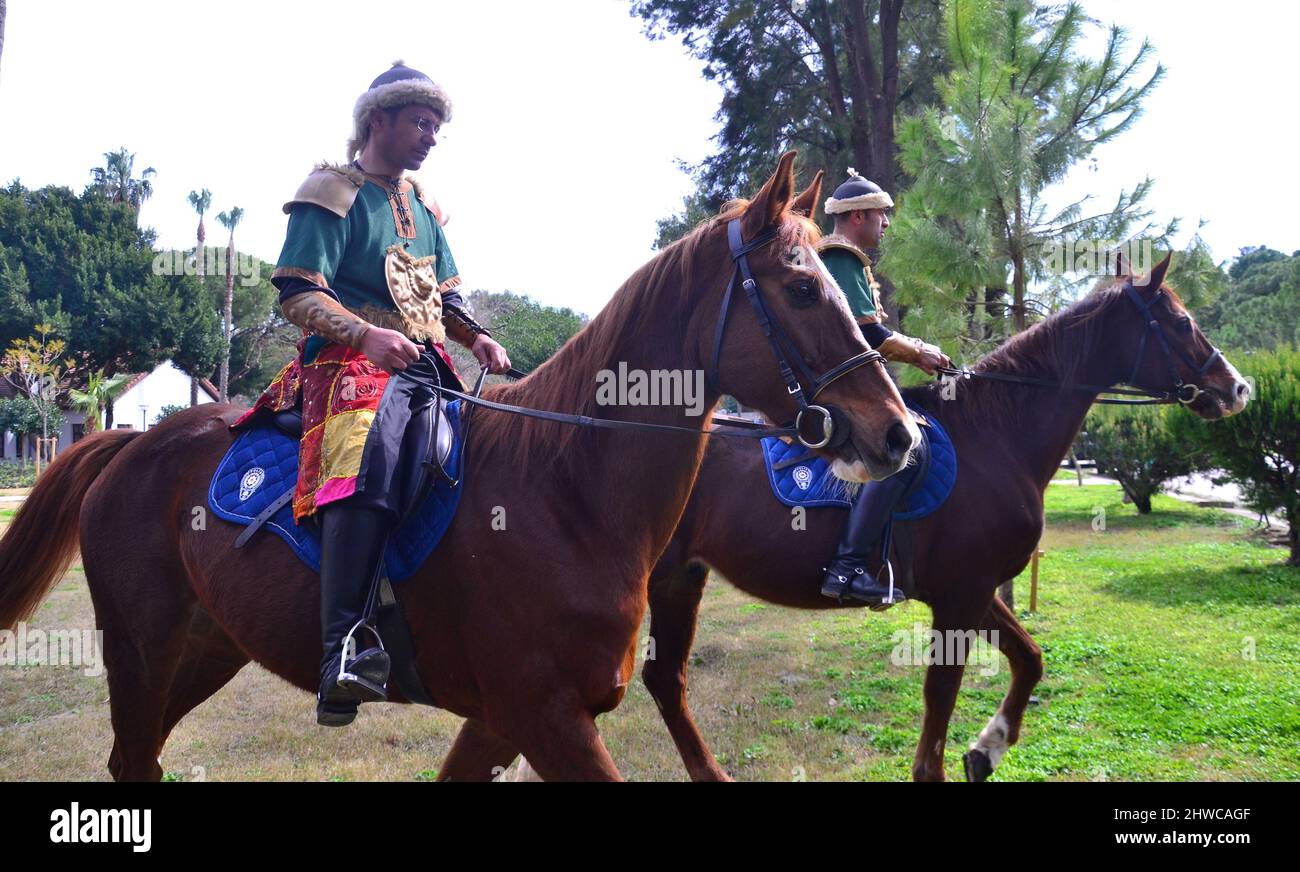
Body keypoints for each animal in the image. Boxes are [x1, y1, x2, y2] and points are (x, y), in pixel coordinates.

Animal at [0, 152, 920, 784]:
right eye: (802, 289)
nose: (898, 434)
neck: (569, 495)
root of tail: (133, 443)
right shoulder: (545, 715)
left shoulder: (505, 721)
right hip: (141, 649)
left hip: (205, 647)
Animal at [639, 254, 1248, 784]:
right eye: (1182, 322)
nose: (1238, 387)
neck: (995, 432)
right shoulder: (961, 597)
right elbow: (941, 699)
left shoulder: (974, 591)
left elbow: (1030, 659)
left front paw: (986, 749)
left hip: (680, 579)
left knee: (664, 680)